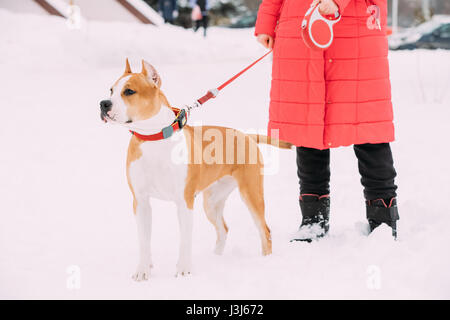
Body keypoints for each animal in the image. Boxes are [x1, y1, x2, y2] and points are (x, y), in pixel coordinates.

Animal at [100, 59, 292, 280]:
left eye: (129, 91)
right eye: (111, 90)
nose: (103, 103)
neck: (153, 138)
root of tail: (246, 135)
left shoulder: (184, 201)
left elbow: (184, 240)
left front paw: (183, 270)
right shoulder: (141, 201)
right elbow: (144, 241)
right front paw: (142, 270)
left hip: (251, 194)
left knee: (265, 231)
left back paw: (266, 260)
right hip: (212, 202)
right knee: (223, 229)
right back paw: (216, 258)